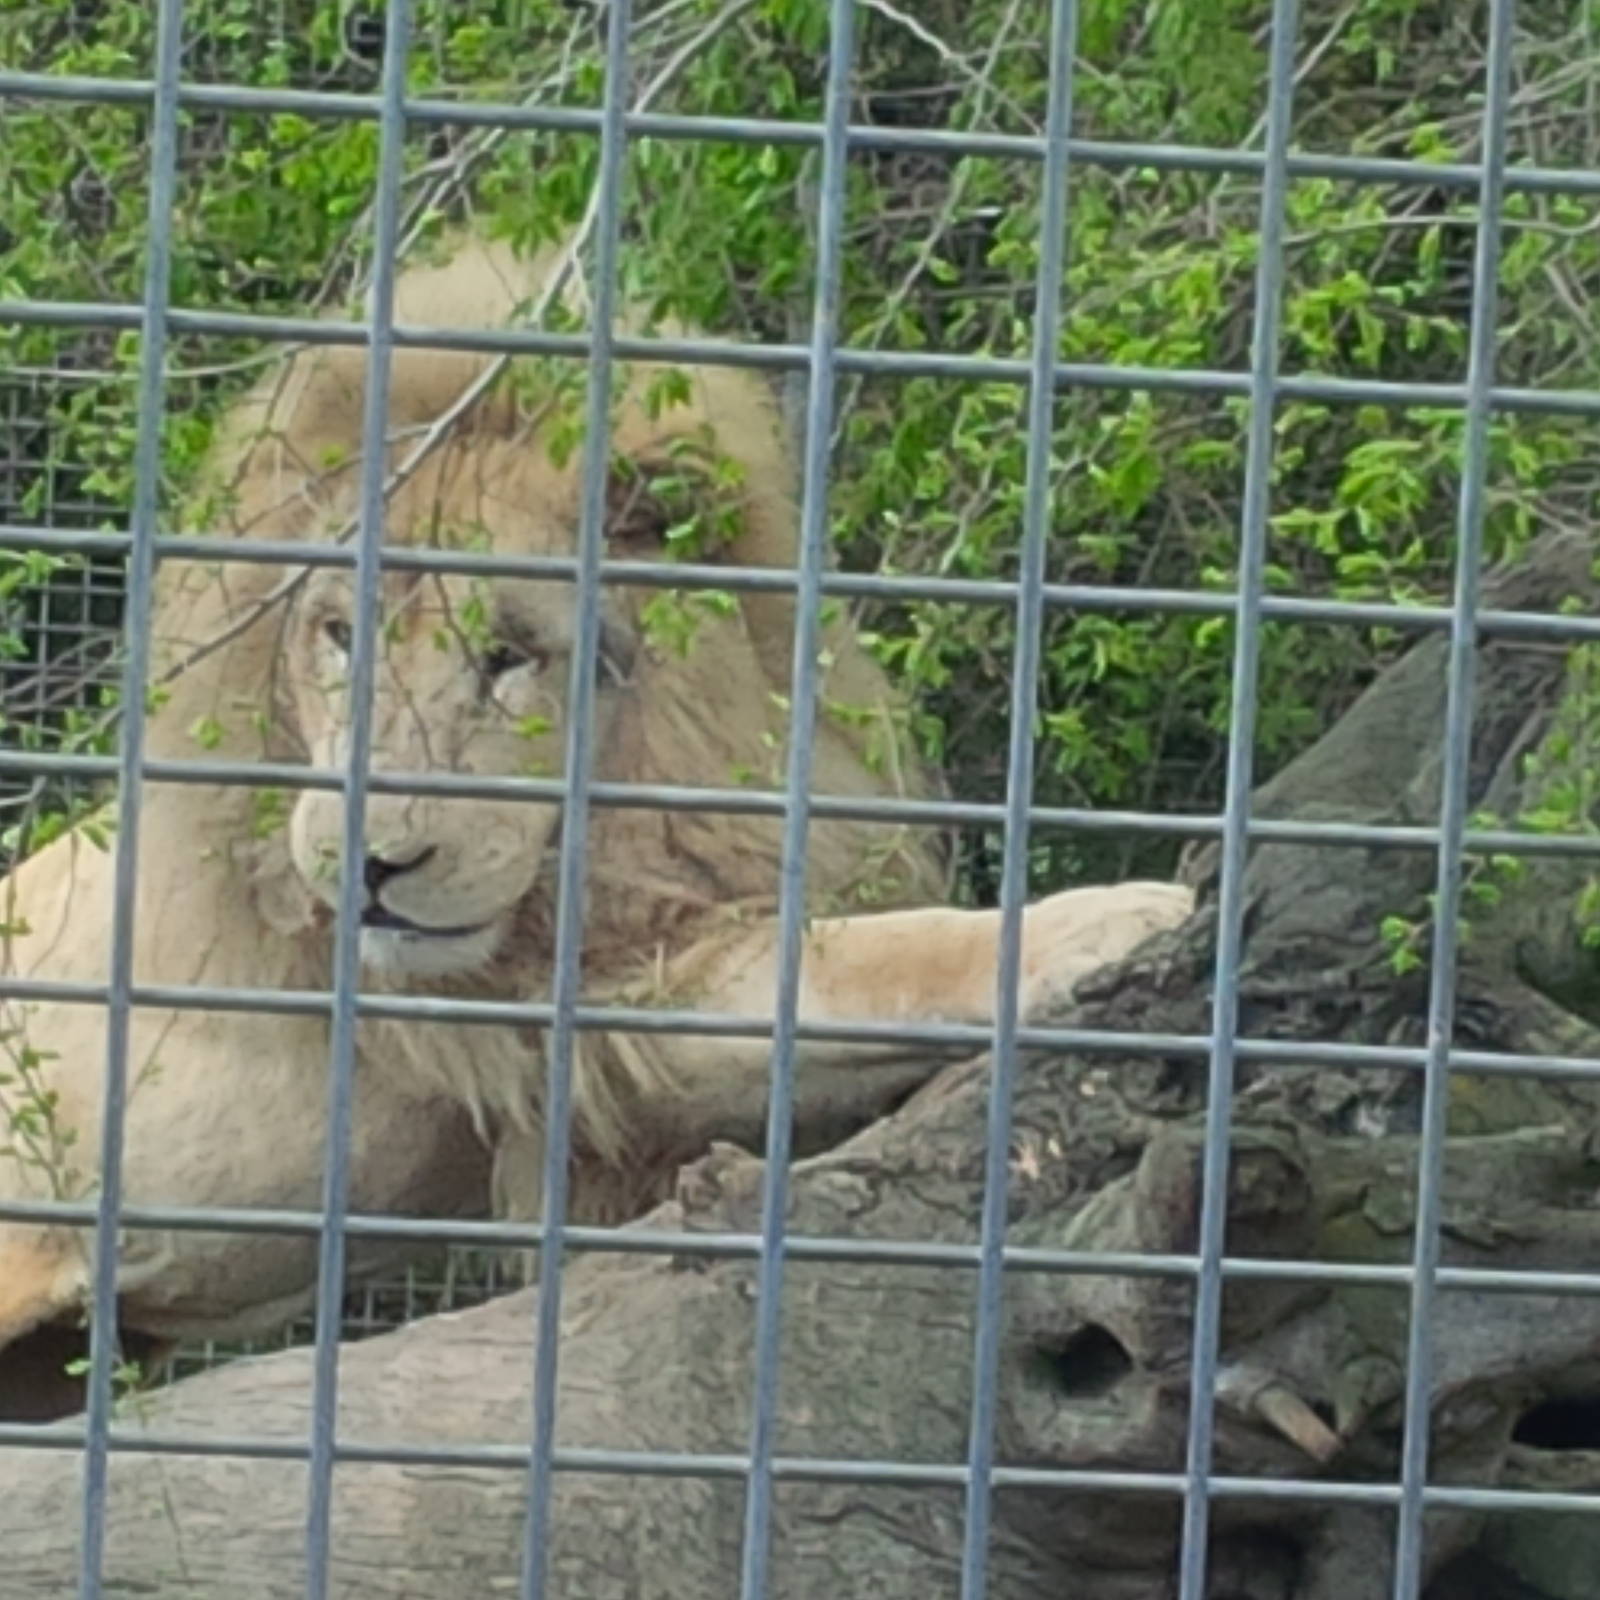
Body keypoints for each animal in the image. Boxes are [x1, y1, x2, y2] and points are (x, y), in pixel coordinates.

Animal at [0, 232, 1193, 1419]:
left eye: (508, 655)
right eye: (339, 634)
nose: (366, 863)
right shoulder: (575, 1014)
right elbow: (858, 963)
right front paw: (1112, 920)